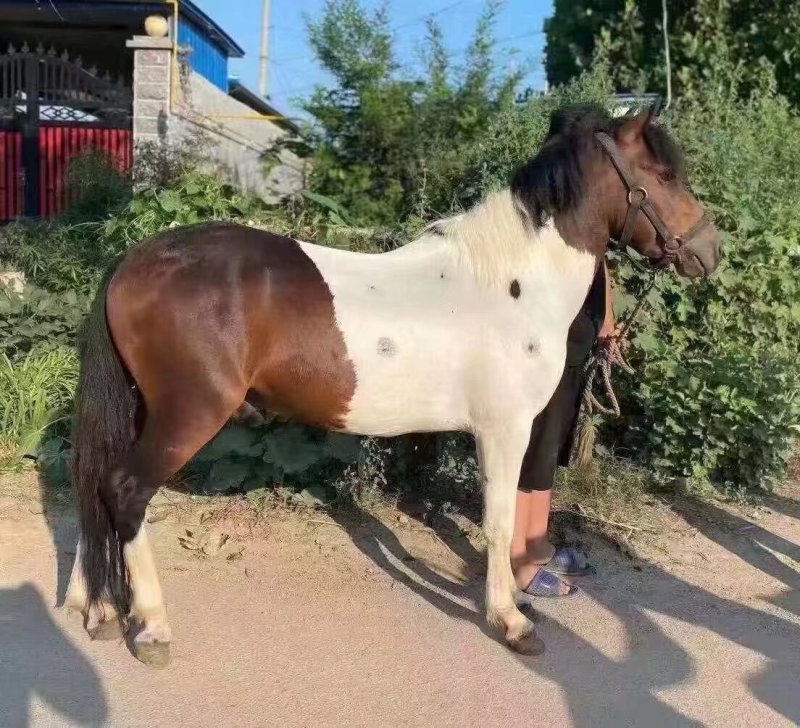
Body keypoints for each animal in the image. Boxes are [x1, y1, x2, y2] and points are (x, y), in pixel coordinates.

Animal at [64, 105, 721, 667]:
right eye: (663, 173)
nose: (710, 250)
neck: (510, 282)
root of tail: (134, 261)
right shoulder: (503, 429)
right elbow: (499, 521)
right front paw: (510, 620)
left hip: (143, 411)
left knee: (97, 485)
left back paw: (95, 609)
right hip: (188, 415)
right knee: (125, 490)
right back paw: (152, 626)